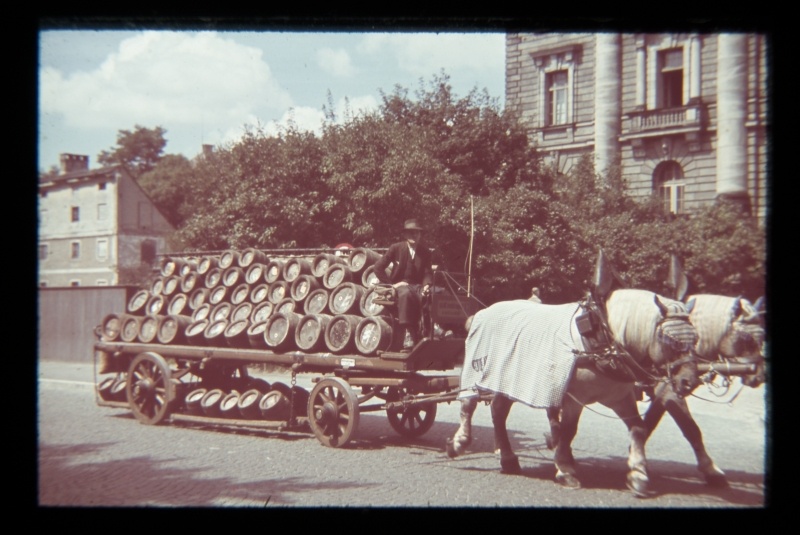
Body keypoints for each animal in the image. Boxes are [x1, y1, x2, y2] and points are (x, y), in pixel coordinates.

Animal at [444, 288, 700, 498]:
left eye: (696, 337)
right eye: (670, 338)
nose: (689, 381)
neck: (602, 339)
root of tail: (482, 312)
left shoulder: (620, 397)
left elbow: (637, 429)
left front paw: (638, 474)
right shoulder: (574, 399)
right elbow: (568, 430)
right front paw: (565, 469)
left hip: (508, 381)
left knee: (498, 412)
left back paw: (507, 458)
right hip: (478, 374)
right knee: (468, 404)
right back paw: (459, 442)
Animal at [640, 296, 764, 488]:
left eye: (762, 337)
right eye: (745, 338)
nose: (759, 375)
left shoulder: (668, 392)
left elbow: (651, 423)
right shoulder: (669, 392)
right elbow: (689, 427)